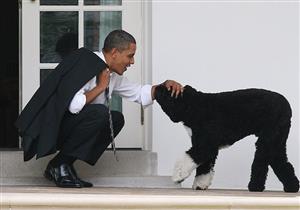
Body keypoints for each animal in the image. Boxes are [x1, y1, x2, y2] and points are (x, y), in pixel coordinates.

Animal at [156, 85, 298, 192]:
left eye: (167, 90)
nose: (157, 87)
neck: (195, 106)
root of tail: (287, 107)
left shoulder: (206, 145)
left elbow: (188, 158)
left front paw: (178, 176)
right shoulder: (205, 145)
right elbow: (204, 167)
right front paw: (200, 185)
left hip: (268, 139)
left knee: (261, 163)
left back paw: (255, 187)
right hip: (276, 141)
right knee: (280, 162)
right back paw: (292, 187)